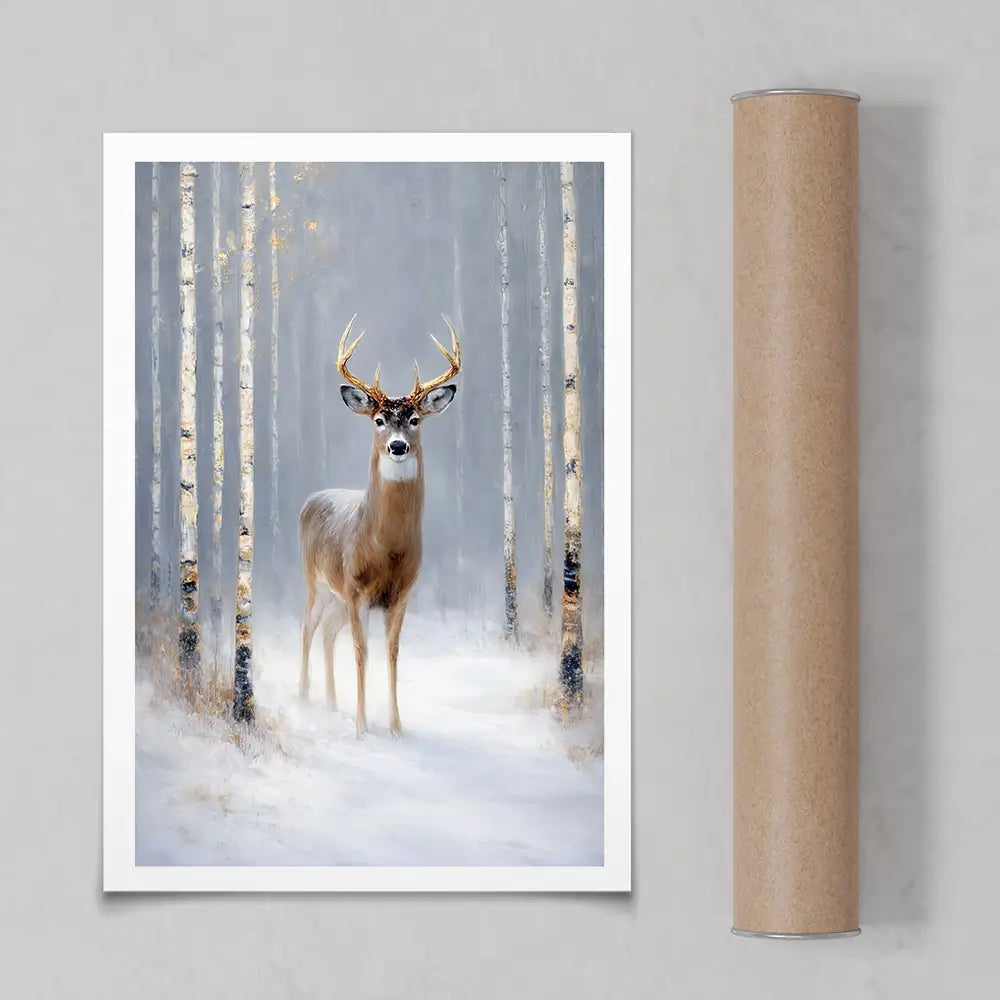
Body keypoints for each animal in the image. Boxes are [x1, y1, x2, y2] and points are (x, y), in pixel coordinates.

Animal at [298, 314, 461, 738]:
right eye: (379, 419)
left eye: (415, 419)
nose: (398, 446)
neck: (386, 549)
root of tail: (311, 499)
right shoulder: (357, 591)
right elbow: (361, 652)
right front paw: (360, 726)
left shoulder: (400, 595)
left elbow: (392, 652)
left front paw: (395, 726)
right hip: (317, 581)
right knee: (308, 628)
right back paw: (304, 696)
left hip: (337, 598)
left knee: (327, 632)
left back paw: (331, 703)